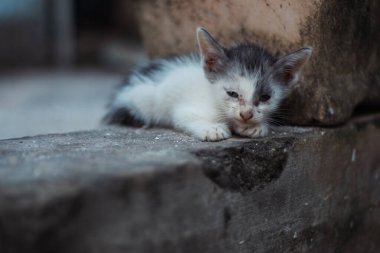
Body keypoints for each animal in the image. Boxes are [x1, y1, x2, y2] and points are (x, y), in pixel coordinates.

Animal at [104, 27, 312, 142]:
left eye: (265, 97)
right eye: (232, 94)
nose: (246, 115)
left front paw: (256, 126)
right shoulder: (185, 108)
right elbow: (186, 117)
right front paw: (212, 128)